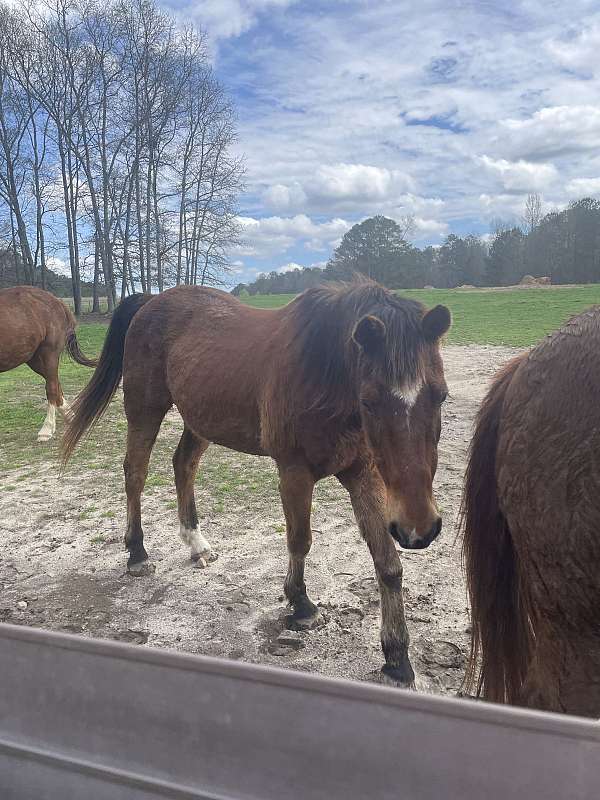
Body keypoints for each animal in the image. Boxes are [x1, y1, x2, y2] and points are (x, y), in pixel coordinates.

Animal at [0, 286, 96, 441]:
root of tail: (57, 301)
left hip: (48, 353)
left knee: (51, 387)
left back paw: (46, 429)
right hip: (34, 359)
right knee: (56, 383)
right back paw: (69, 416)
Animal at [63, 279, 451, 684]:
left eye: (440, 395)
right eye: (370, 400)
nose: (418, 528)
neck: (323, 374)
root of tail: (153, 300)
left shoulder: (363, 474)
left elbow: (387, 562)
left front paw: (397, 657)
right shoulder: (294, 473)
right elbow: (300, 541)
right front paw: (301, 605)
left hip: (201, 418)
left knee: (184, 465)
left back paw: (197, 545)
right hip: (145, 409)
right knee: (135, 473)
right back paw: (137, 553)